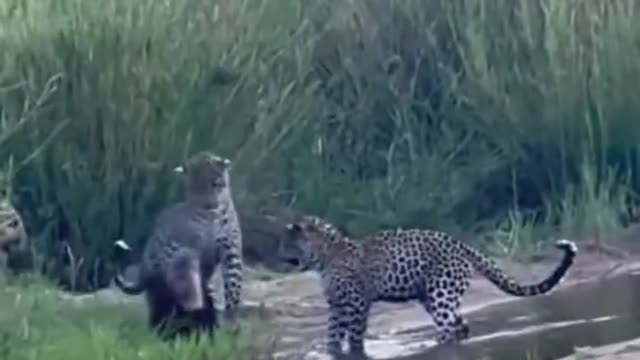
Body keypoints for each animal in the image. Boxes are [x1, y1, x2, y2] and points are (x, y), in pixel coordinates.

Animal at [112, 152, 242, 340]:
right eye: (194, 188)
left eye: (215, 183)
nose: (208, 204)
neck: (210, 216)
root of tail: (144, 267)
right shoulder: (191, 250)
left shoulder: (231, 250)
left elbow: (233, 286)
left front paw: (231, 320)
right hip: (159, 284)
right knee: (161, 308)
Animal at [282, 214, 576, 358]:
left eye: (287, 240)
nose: (280, 256)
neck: (324, 256)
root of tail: (461, 245)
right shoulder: (336, 307)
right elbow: (332, 336)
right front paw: (331, 351)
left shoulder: (356, 304)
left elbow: (354, 337)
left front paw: (353, 352)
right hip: (434, 295)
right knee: (460, 326)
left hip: (441, 294)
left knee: (449, 329)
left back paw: (433, 347)